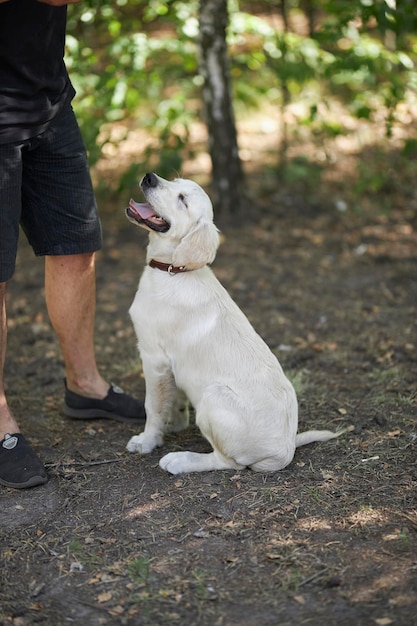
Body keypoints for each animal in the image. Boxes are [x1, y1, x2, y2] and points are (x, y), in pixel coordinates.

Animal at [124, 171, 352, 472]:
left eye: (182, 200)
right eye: (174, 180)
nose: (150, 177)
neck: (174, 270)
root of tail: (285, 451)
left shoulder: (154, 358)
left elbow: (153, 406)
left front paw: (148, 441)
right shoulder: (172, 365)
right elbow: (174, 400)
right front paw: (173, 425)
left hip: (212, 396)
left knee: (227, 462)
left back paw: (181, 460)